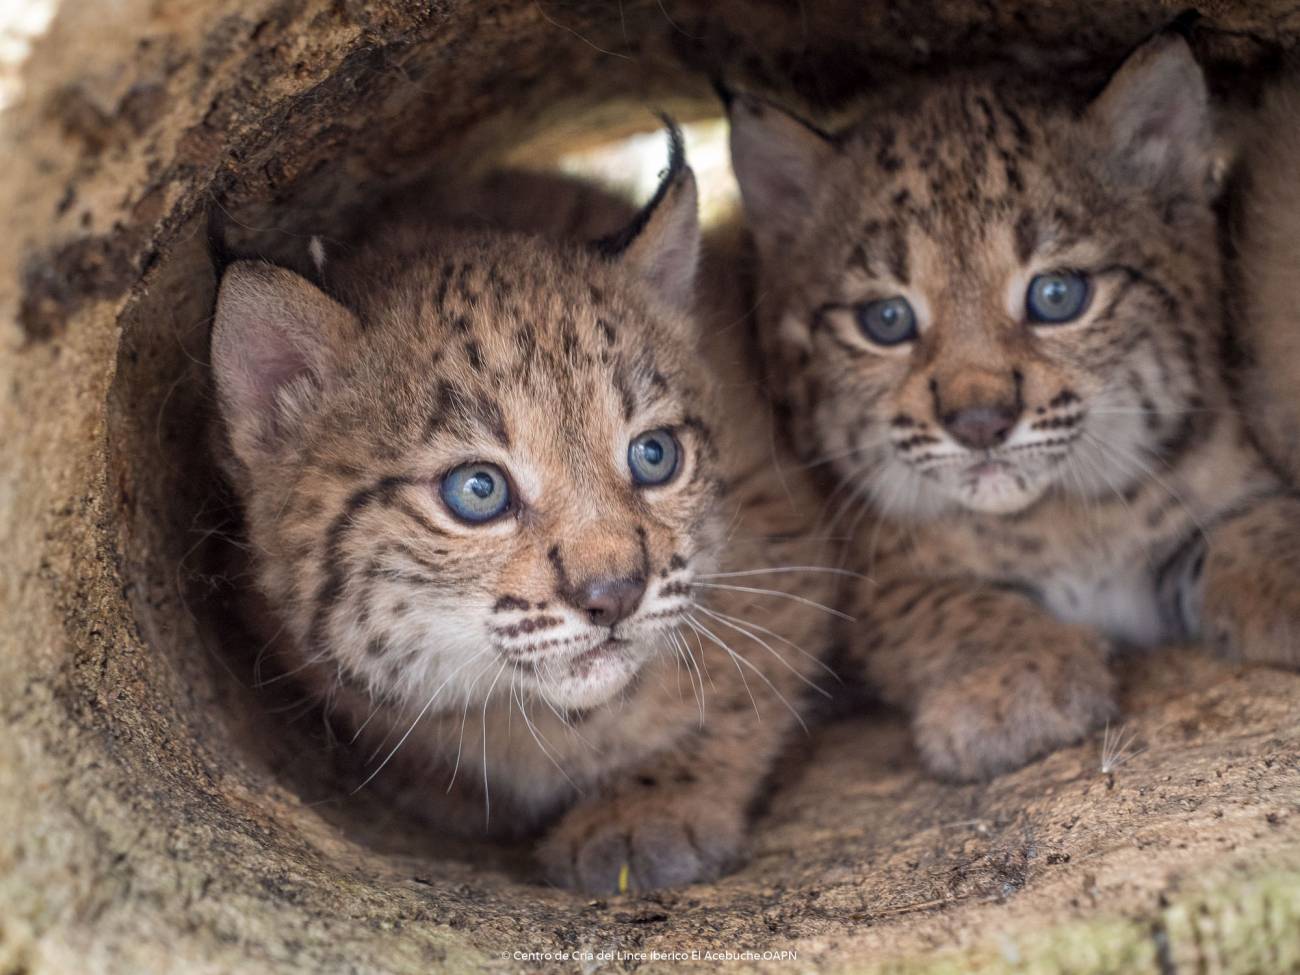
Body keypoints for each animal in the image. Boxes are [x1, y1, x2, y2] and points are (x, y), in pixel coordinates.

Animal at [209, 128, 837, 894]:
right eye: (478, 491)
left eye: (654, 455)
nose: (615, 595)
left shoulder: (784, 520)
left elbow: (743, 679)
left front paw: (649, 810)